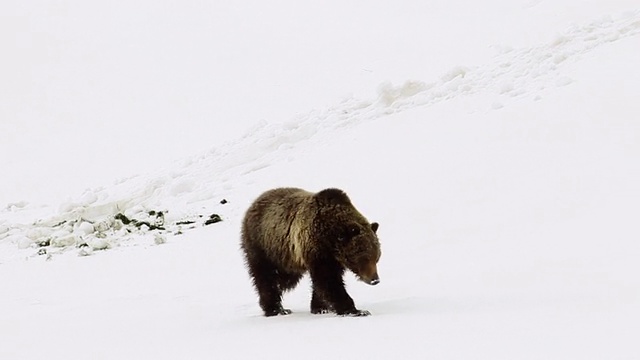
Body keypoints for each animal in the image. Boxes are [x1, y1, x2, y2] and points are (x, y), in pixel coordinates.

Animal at [240, 187, 380, 316]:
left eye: (377, 258)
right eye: (364, 258)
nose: (375, 280)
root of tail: (254, 202)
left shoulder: (331, 256)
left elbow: (323, 282)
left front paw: (320, 308)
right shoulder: (317, 247)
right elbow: (329, 281)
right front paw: (356, 310)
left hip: (285, 255)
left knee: (284, 278)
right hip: (262, 245)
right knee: (267, 277)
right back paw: (276, 309)